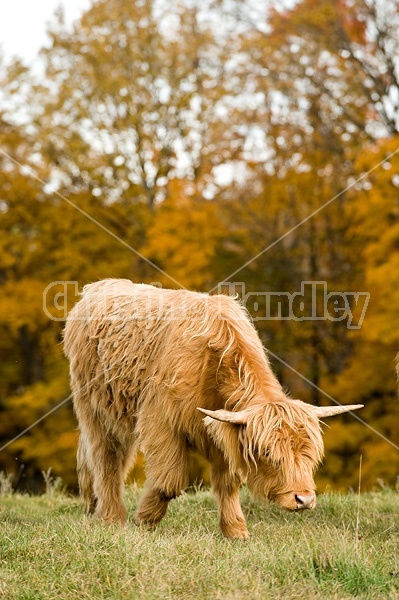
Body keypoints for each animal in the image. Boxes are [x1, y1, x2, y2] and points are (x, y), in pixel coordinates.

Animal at [64, 278, 364, 540]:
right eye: (268, 452)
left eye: (310, 453)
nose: (304, 498)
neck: (213, 364)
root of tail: (98, 287)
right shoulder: (161, 423)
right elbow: (169, 482)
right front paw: (145, 520)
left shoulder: (225, 431)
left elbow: (228, 484)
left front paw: (236, 531)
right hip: (94, 409)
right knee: (105, 459)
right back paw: (112, 517)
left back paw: (92, 504)